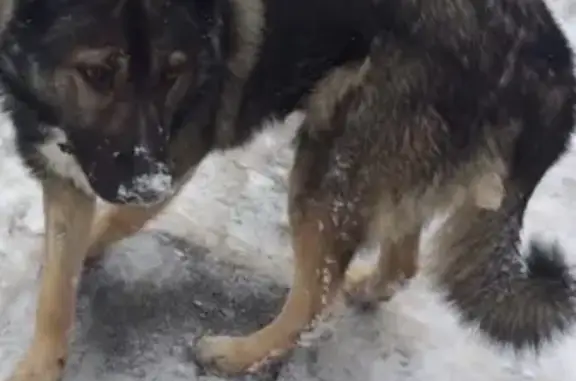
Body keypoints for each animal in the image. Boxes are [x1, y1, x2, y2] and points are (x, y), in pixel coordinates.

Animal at [1, 0, 576, 378]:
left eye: (172, 75)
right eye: (97, 73)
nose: (148, 182)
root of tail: (552, 62)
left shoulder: (177, 154)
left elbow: (113, 222)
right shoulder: (70, 171)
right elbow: (57, 290)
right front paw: (42, 359)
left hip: (330, 164)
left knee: (316, 295)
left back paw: (239, 353)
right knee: (401, 261)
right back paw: (367, 285)